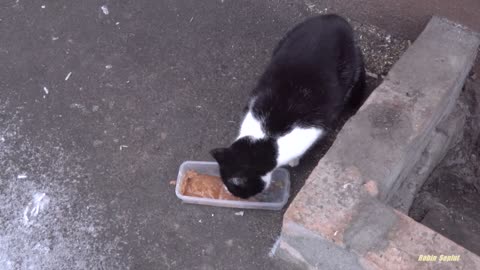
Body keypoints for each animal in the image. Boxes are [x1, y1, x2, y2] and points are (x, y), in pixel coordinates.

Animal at [209, 14, 364, 198]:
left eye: (235, 188)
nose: (232, 194)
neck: (267, 138)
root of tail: (335, 17)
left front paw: (294, 161)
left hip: (347, 69)